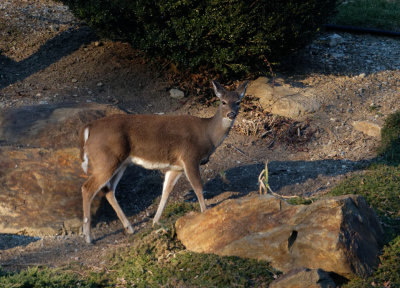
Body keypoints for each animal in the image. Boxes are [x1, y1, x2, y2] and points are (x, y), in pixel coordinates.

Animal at [78, 80, 247, 243]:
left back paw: (129, 228)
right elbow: (198, 187)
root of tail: (89, 128)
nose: (231, 114)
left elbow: (166, 191)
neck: (208, 135)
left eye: (238, 101)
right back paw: (88, 237)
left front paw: (155, 222)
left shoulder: (176, 167)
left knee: (109, 190)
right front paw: (205, 213)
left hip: (120, 162)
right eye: (223, 101)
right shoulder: (190, 157)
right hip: (106, 159)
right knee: (88, 188)